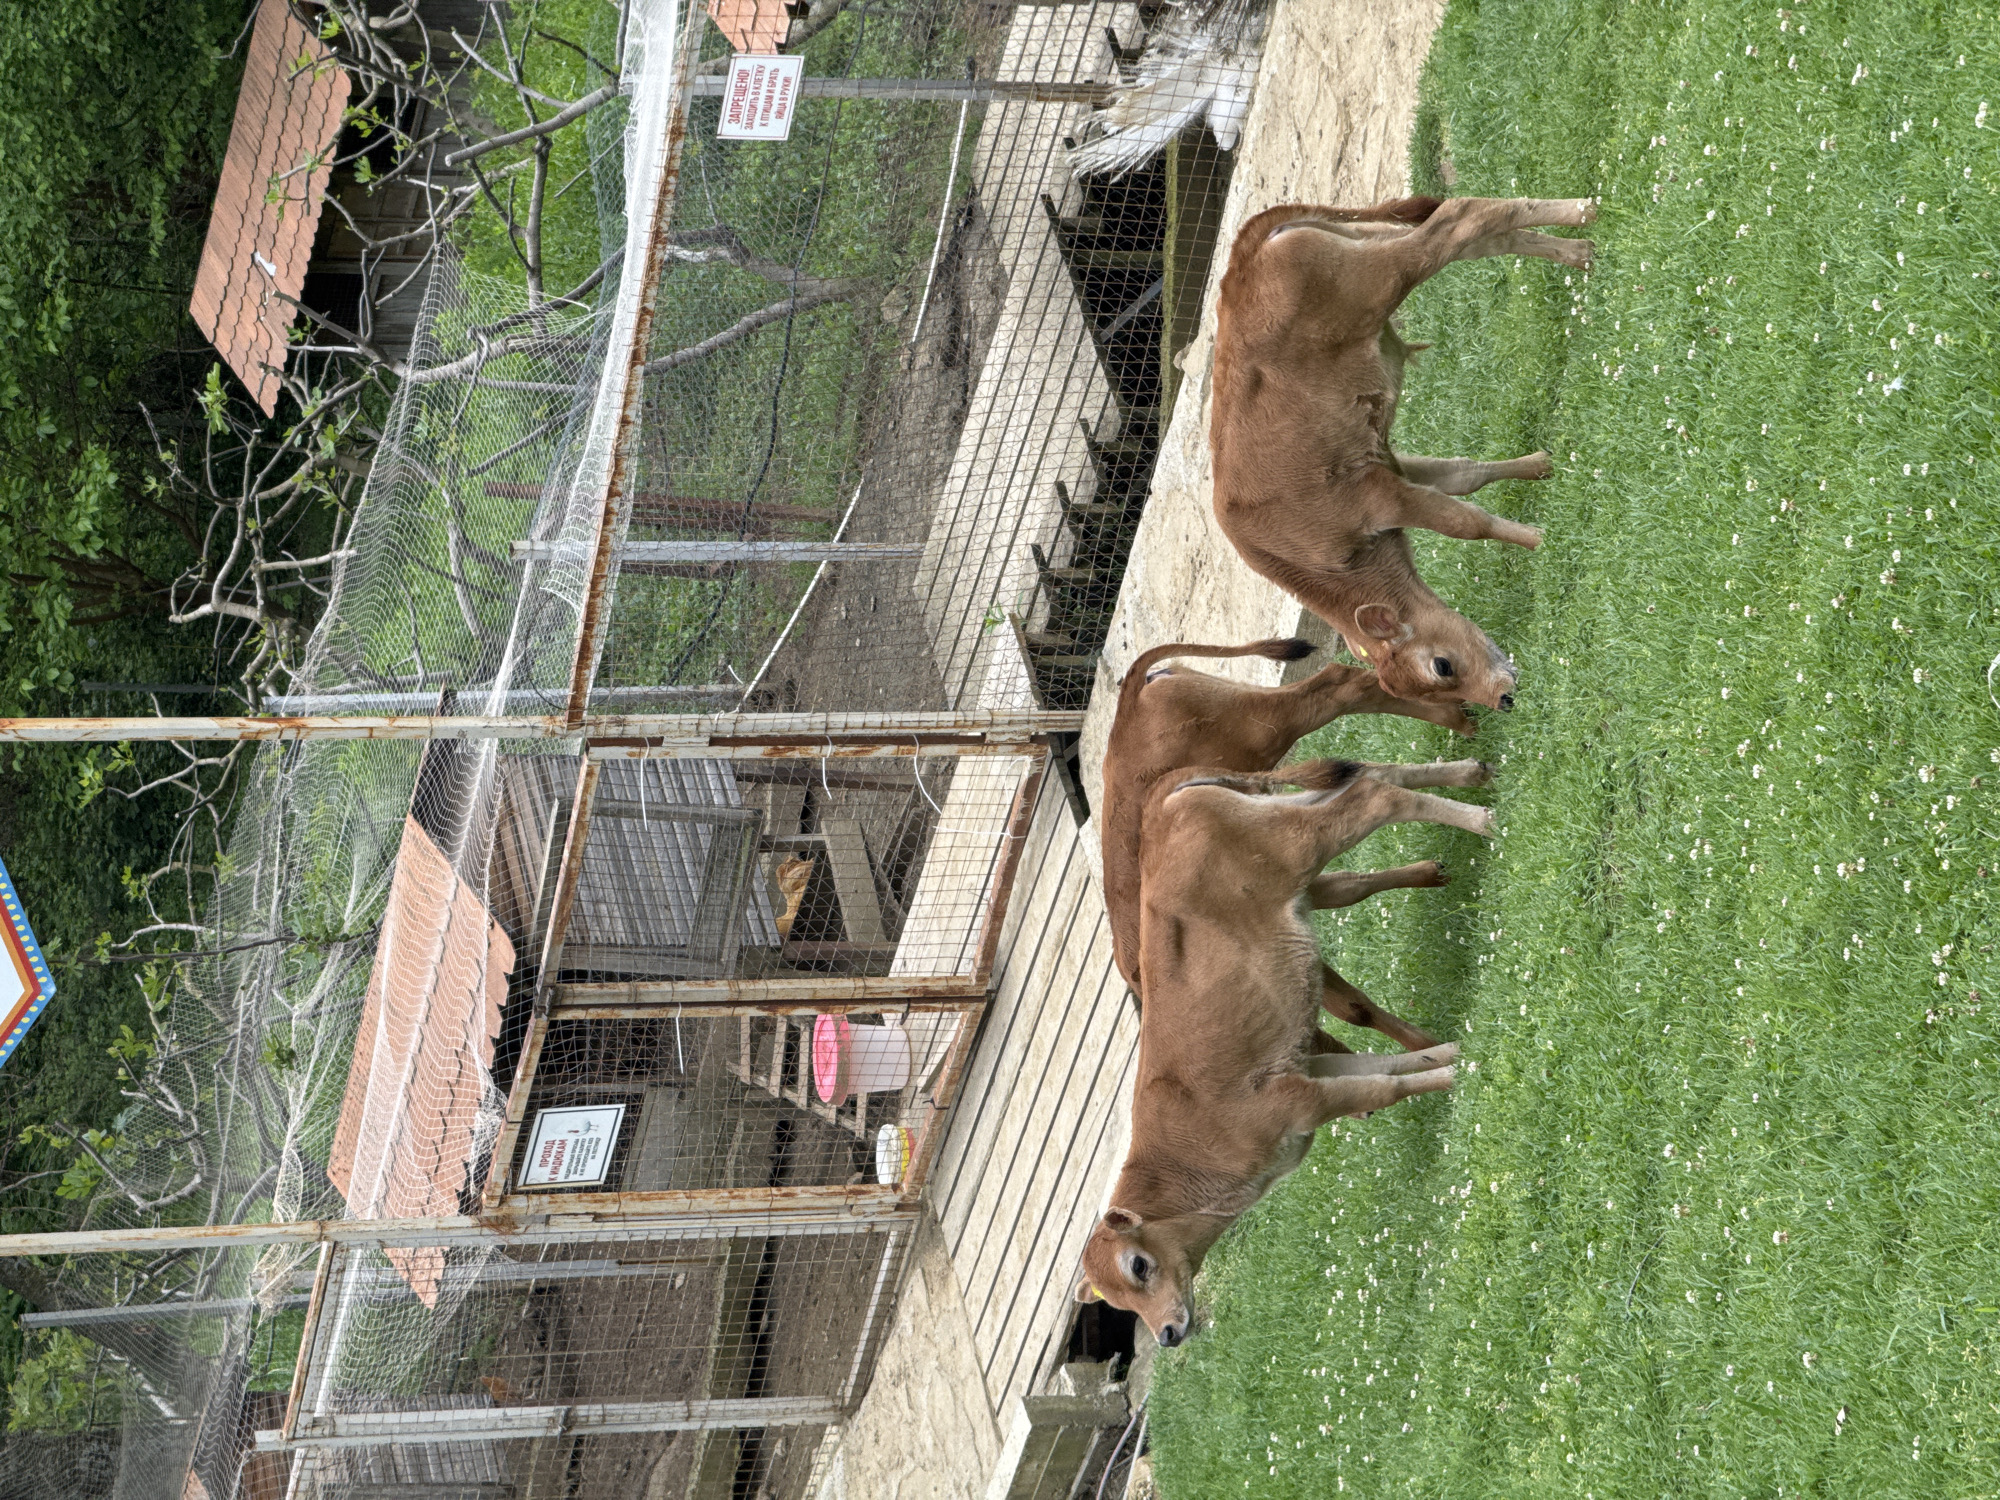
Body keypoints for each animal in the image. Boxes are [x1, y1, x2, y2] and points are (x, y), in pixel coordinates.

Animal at [1076, 754, 1497, 1346]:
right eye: (1116, 1304)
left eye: (1138, 1265)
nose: (1166, 1334)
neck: (1190, 1157)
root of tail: (1164, 800)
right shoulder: (1309, 1067)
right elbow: (1388, 1066)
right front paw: (1453, 1053)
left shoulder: (1299, 1103)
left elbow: (1383, 1087)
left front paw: (1455, 1077)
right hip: (1286, 816)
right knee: (1371, 779)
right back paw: (1472, 777)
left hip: (1299, 844)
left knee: (1374, 797)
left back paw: (1485, 821)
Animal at [1101, 636, 1476, 1051]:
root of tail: (1130, 700)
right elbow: (1350, 894)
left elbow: (1352, 1007)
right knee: (1366, 764)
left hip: (1267, 728)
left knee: (1340, 685)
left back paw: (1456, 717)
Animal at [1210, 193, 1596, 715]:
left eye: (1442, 665)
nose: (1503, 699)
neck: (1297, 550)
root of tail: (1244, 256)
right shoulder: (1390, 461)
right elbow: (1464, 476)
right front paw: (1541, 466)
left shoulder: (1380, 493)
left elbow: (1465, 522)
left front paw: (1538, 539)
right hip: (1375, 240)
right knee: (1479, 238)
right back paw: (1579, 252)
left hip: (1384, 276)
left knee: (1457, 221)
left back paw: (1582, 212)